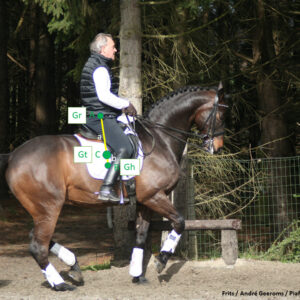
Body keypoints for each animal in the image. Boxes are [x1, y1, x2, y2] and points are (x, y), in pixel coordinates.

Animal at [2, 84, 226, 290]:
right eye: (221, 114)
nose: (218, 146)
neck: (160, 138)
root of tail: (14, 155)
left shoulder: (146, 201)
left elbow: (141, 236)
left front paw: (137, 275)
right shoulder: (155, 196)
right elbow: (179, 222)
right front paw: (161, 261)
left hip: (40, 209)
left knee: (35, 237)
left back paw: (74, 266)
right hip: (49, 207)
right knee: (37, 245)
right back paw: (60, 283)